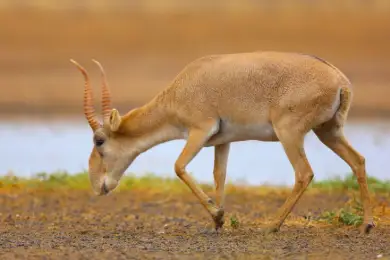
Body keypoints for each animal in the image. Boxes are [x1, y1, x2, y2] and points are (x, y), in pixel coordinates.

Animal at [70, 51, 374, 234]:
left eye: (99, 140)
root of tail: (339, 80)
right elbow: (220, 175)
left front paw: (217, 215)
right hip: (329, 132)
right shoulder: (222, 142)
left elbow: (178, 166)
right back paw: (367, 225)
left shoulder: (199, 131)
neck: (183, 88)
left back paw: (272, 226)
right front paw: (219, 222)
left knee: (304, 173)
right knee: (358, 160)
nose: (98, 185)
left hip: (289, 134)